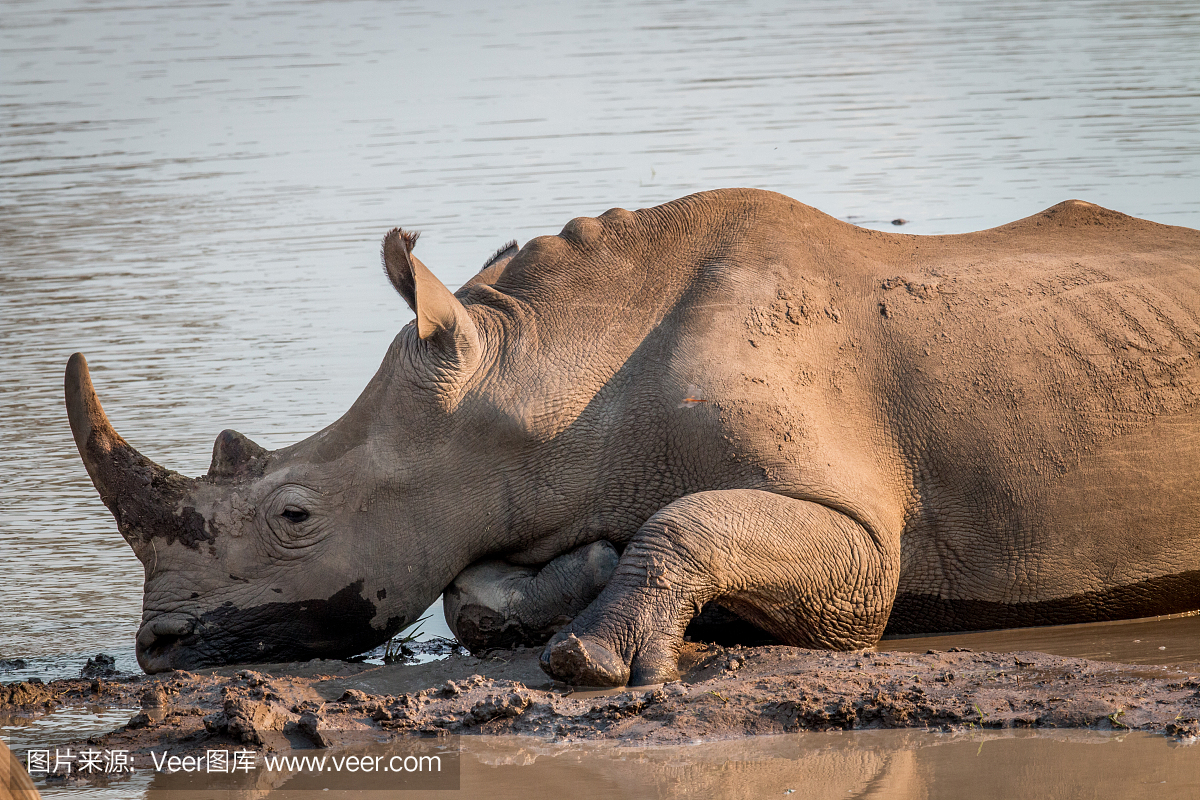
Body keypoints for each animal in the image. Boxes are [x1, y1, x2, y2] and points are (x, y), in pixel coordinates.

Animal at [65, 190, 1200, 686]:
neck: (547, 380)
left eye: (295, 515)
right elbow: (470, 591)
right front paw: (589, 571)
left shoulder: (863, 538)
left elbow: (693, 517)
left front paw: (589, 659)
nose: (158, 648)